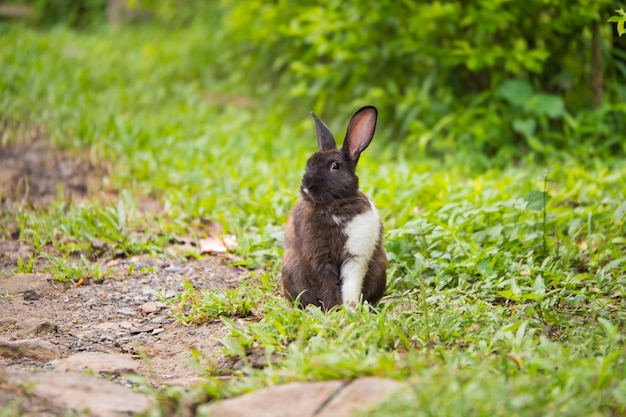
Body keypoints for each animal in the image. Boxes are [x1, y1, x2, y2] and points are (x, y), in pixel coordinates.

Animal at [282, 105, 386, 310]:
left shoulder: (355, 257)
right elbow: (328, 284)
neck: (334, 208)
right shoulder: (320, 259)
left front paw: (349, 309)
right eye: (308, 164)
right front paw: (333, 309)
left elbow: (351, 284)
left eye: (335, 166)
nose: (306, 187)